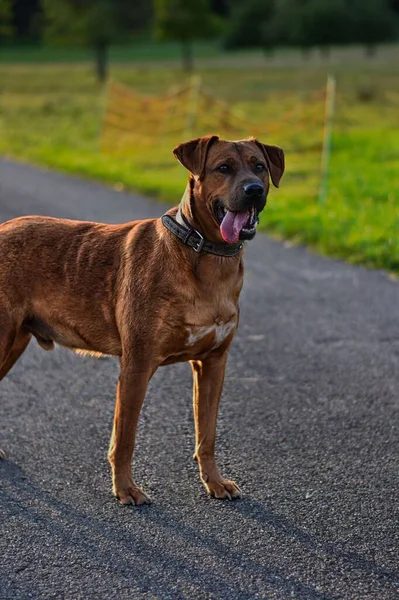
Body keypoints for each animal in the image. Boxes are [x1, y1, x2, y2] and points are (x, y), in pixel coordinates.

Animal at [0, 135, 284, 502]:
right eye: (223, 168)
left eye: (259, 166)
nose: (253, 190)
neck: (206, 255)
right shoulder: (136, 365)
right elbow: (125, 439)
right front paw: (124, 488)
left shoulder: (213, 363)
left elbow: (206, 436)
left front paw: (214, 481)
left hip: (14, 342)